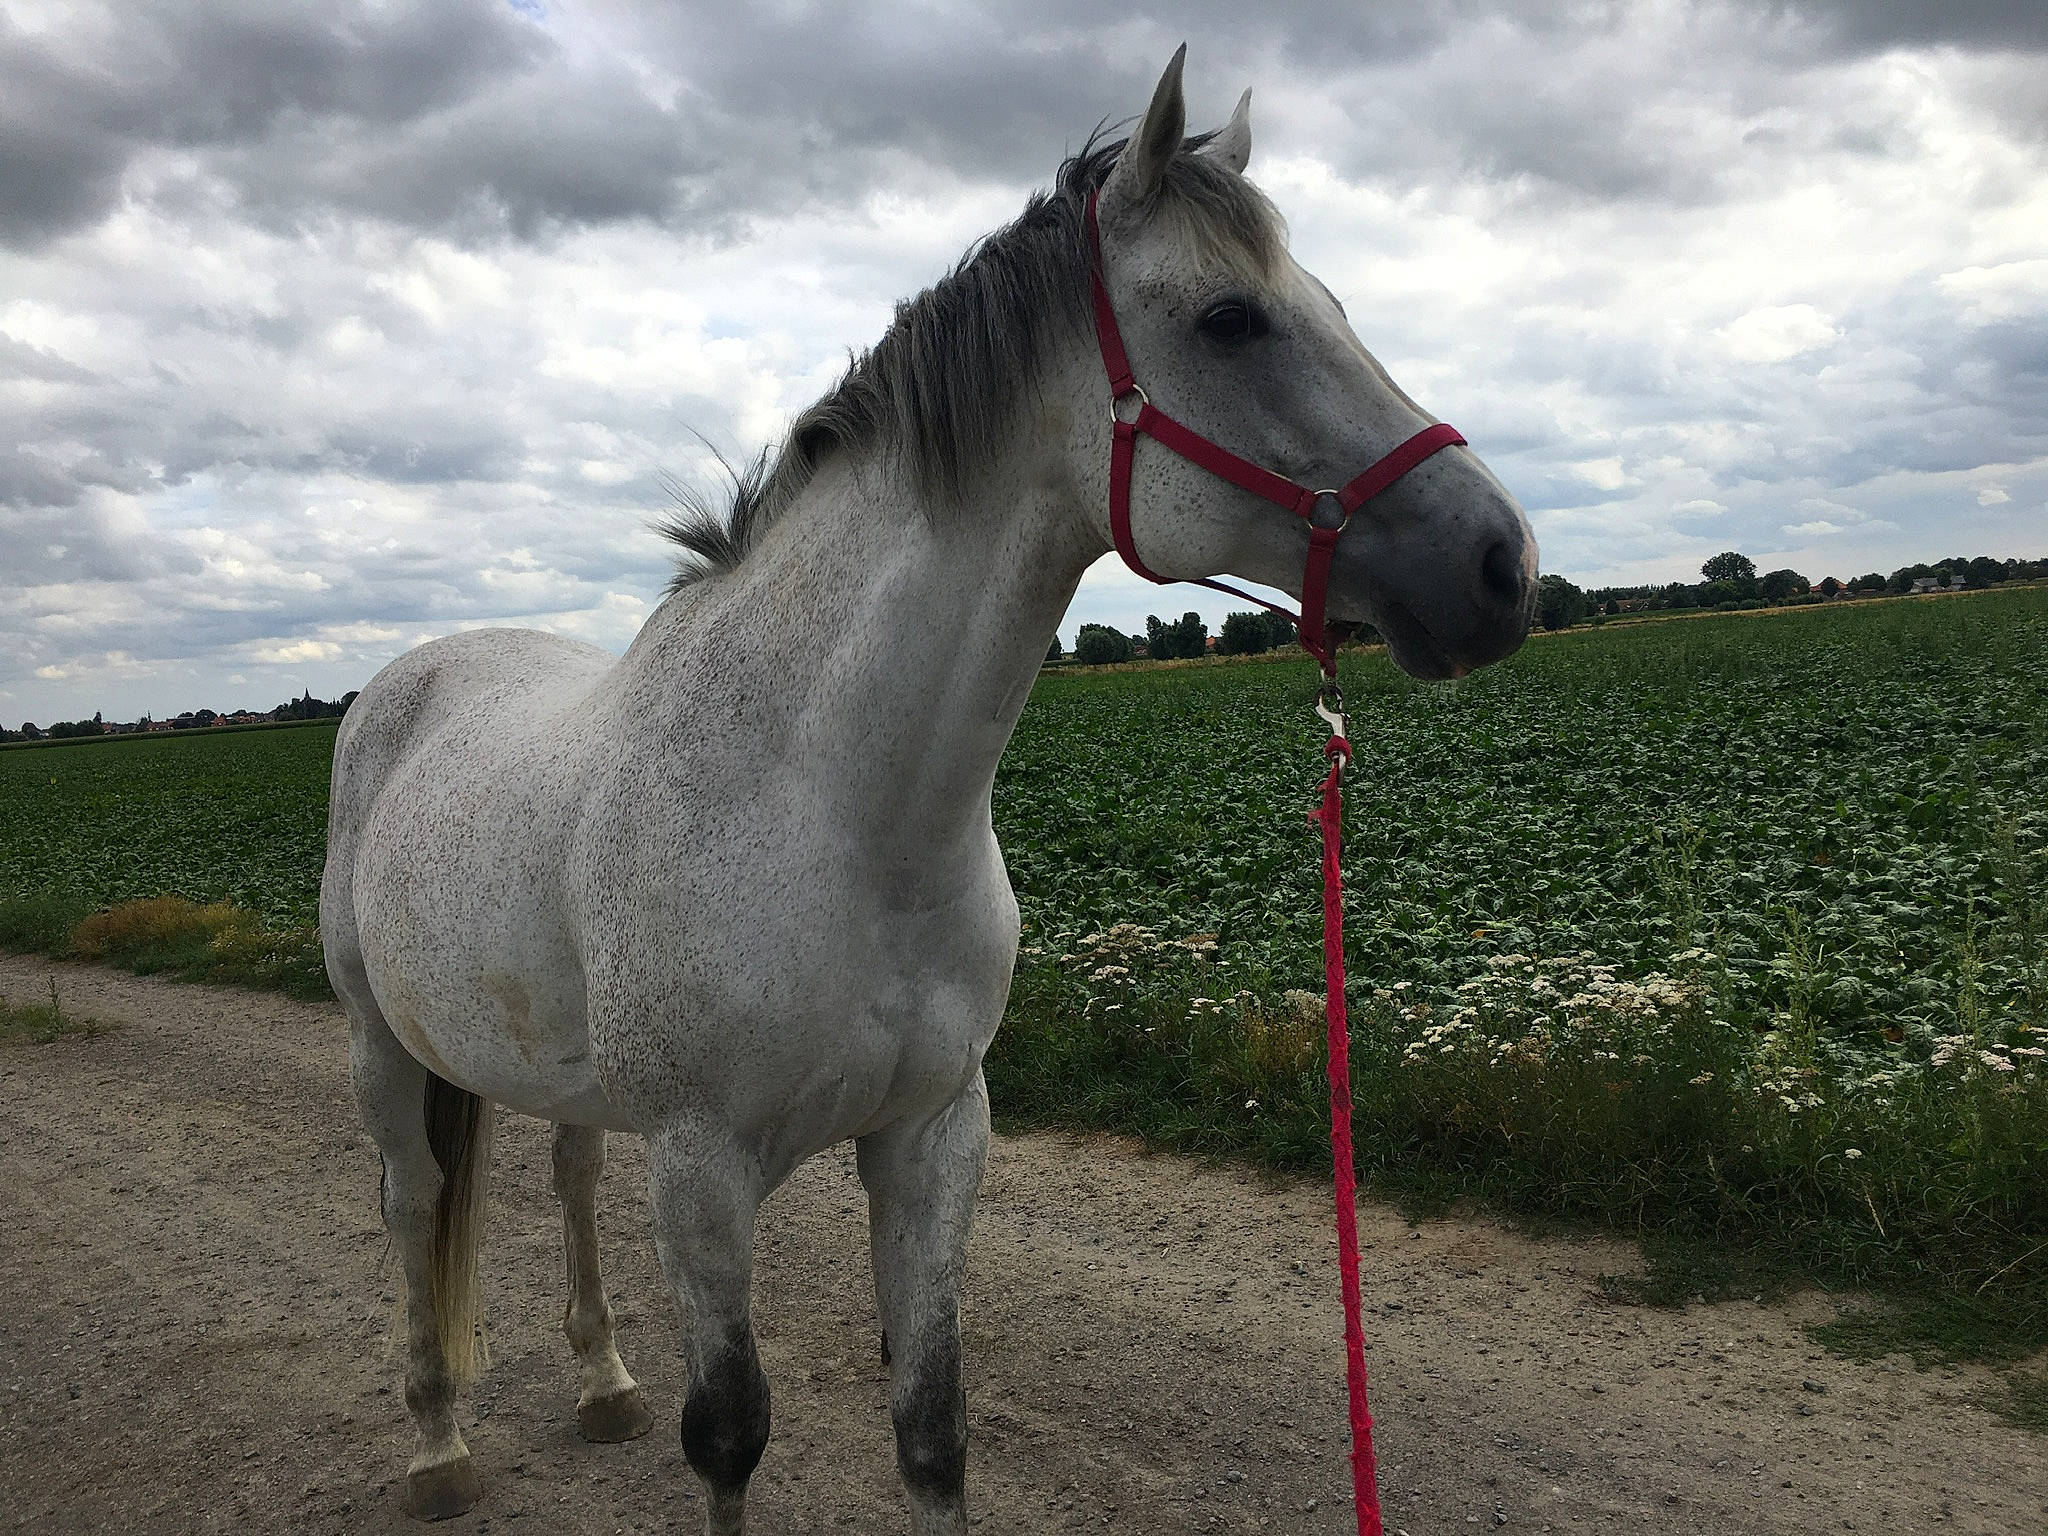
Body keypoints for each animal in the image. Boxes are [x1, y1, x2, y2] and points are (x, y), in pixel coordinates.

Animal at [320, 47, 1535, 1535]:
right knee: (410, 1205)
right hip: (385, 1053)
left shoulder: (933, 1137)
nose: (1498, 566)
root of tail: (408, 679)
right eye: (1232, 318)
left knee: (565, 1176)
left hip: (564, 1078)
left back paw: (601, 1380)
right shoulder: (703, 1171)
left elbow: (933, 1427)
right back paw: (437, 1443)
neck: (840, 814)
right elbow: (728, 1436)